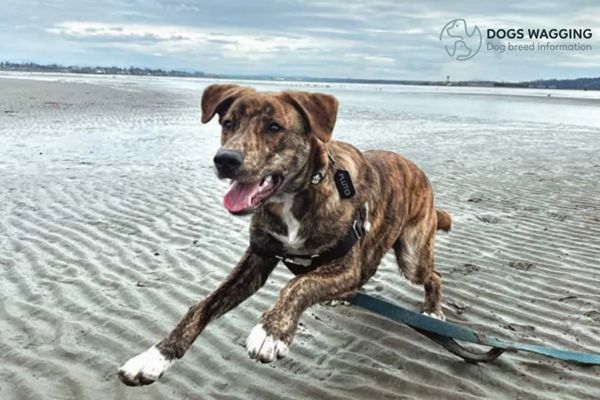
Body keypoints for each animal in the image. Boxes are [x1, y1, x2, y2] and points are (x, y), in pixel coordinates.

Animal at [119, 83, 452, 386]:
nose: (225, 159)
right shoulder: (257, 259)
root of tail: (418, 171)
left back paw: (433, 311)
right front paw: (154, 357)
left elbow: (299, 284)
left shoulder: (345, 264)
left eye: (274, 127)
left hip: (412, 254)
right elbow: (201, 306)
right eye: (228, 123)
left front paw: (271, 332)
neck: (295, 197)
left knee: (432, 275)